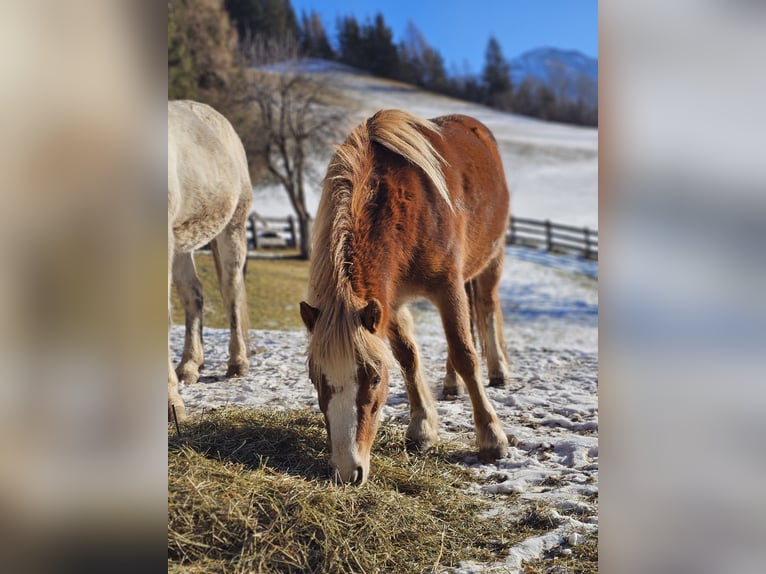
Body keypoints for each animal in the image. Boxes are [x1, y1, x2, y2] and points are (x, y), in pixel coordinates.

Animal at [168, 101, 252, 420]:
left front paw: (172, 405)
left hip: (233, 229)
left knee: (231, 292)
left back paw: (237, 364)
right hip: (182, 243)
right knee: (194, 295)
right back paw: (190, 366)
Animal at [304, 109, 512, 486]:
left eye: (374, 378)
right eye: (316, 378)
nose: (347, 471)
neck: (405, 208)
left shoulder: (447, 286)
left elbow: (465, 353)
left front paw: (492, 439)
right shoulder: (391, 302)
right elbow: (407, 358)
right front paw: (421, 430)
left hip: (490, 261)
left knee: (486, 310)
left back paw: (499, 371)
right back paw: (451, 386)